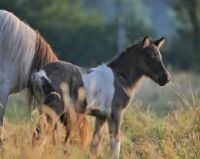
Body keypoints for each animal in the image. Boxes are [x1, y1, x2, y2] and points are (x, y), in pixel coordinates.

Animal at [30, 36, 170, 159]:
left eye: (161, 56)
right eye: (151, 56)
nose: (166, 78)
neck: (120, 77)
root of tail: (40, 73)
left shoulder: (101, 117)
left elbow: (95, 146)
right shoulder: (116, 113)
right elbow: (115, 144)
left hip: (43, 110)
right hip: (54, 110)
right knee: (40, 136)